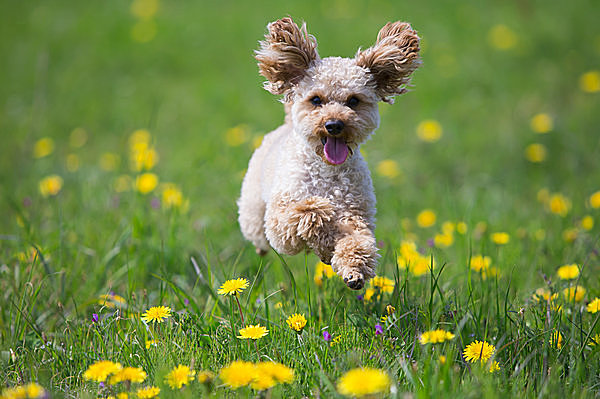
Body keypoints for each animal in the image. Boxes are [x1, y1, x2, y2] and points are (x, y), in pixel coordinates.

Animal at [237, 17, 420, 290]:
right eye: (316, 100)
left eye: (353, 100)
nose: (334, 124)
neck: (327, 173)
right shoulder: (280, 221)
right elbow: (310, 213)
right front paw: (323, 232)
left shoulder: (358, 217)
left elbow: (356, 241)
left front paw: (353, 271)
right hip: (254, 210)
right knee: (258, 234)